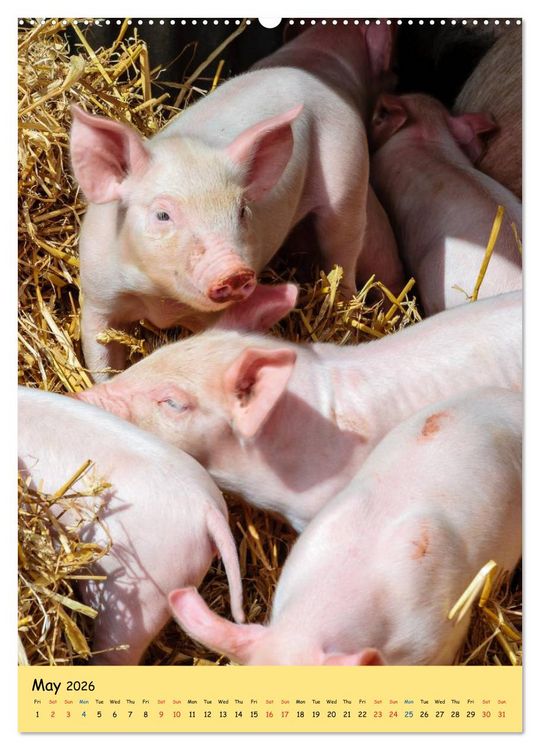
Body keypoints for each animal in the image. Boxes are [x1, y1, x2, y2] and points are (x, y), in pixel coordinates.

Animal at [70, 23, 404, 382]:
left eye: (242, 211)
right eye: (162, 215)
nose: (234, 271)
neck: (159, 299)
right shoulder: (96, 296)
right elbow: (100, 357)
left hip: (347, 174)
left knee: (342, 253)